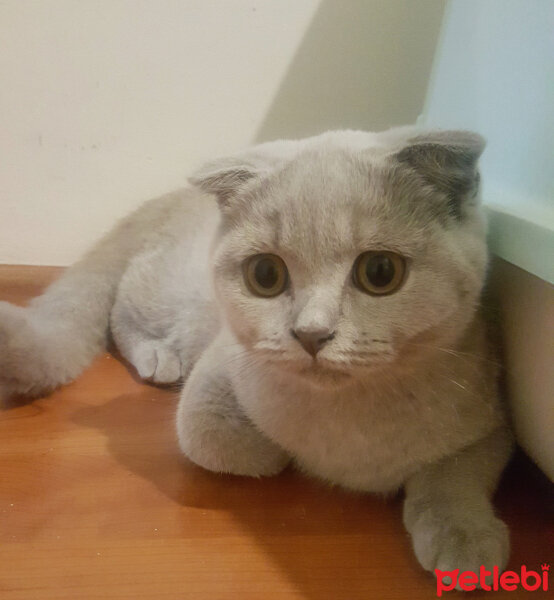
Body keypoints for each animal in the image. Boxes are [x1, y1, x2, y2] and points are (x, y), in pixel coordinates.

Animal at [0, 126, 512, 584]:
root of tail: (161, 200)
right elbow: (226, 443)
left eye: (381, 271)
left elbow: (454, 476)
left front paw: (466, 538)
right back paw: (156, 357)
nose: (311, 333)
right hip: (163, 296)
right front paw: (291, 458)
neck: (353, 418)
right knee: (118, 313)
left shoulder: (491, 421)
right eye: (265, 274)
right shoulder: (214, 381)